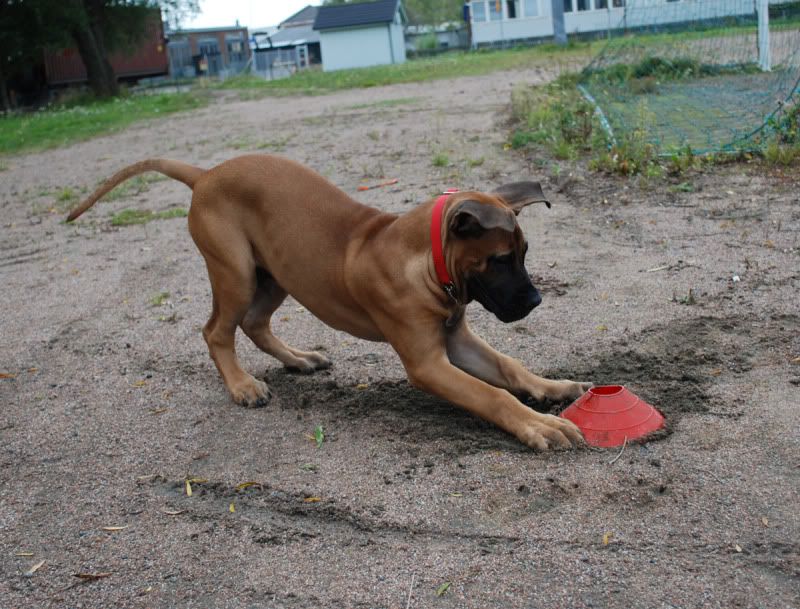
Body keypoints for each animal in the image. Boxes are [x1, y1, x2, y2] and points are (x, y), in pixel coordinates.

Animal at [67, 154, 588, 448]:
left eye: (524, 253)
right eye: (499, 260)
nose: (536, 300)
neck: (427, 261)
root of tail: (207, 174)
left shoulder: (456, 340)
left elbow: (509, 368)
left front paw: (554, 388)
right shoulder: (429, 363)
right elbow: (492, 394)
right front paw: (539, 426)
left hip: (276, 273)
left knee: (255, 324)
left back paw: (299, 359)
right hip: (235, 272)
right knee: (216, 330)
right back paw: (242, 386)